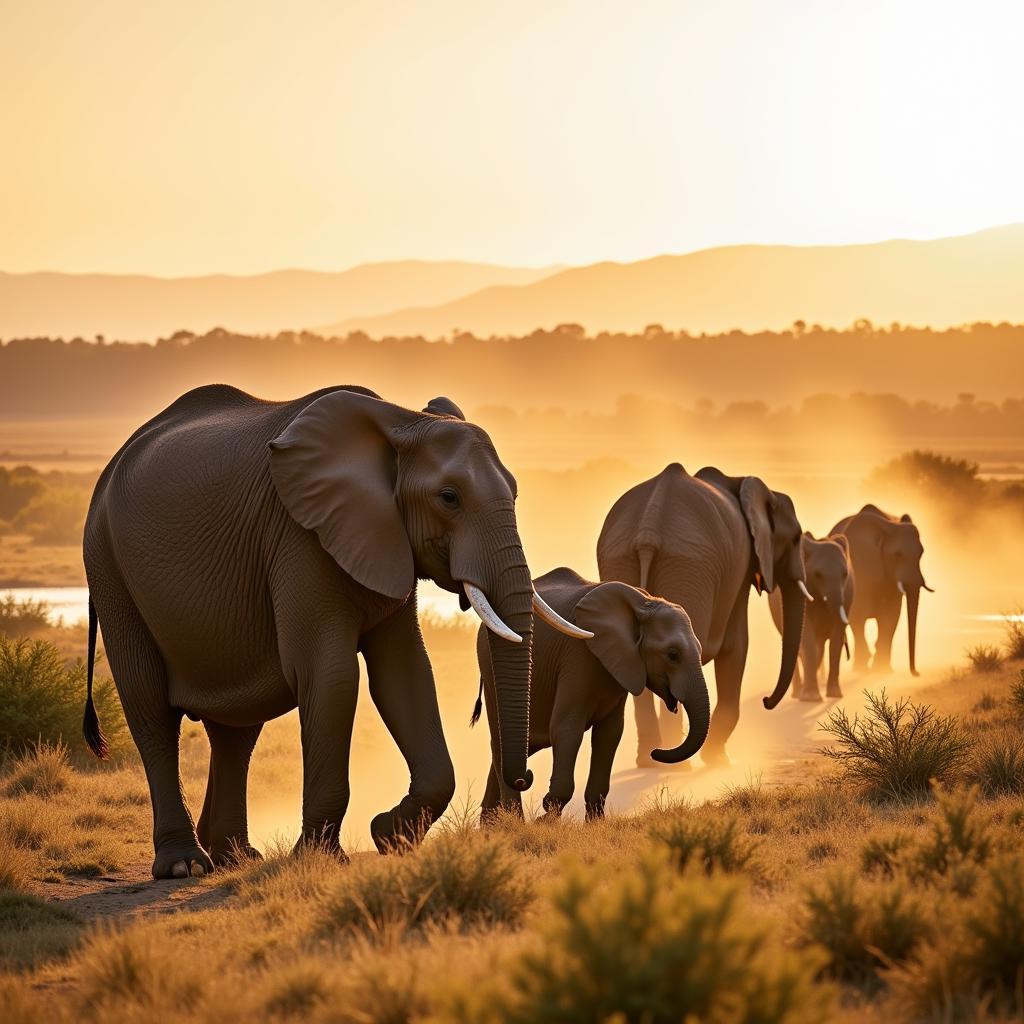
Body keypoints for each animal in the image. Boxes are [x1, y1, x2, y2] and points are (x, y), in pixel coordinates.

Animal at [81, 385, 585, 880]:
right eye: (449, 497)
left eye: (515, 492)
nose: (523, 779)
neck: (400, 421)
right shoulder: (300, 535)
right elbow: (332, 677)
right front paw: (321, 858)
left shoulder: (385, 542)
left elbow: (406, 674)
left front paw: (389, 836)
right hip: (109, 568)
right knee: (151, 709)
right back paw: (184, 865)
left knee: (237, 728)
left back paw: (235, 858)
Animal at [473, 565, 708, 819]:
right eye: (673, 654)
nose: (655, 752)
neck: (643, 602)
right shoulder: (578, 654)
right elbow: (567, 728)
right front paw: (546, 817)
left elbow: (610, 734)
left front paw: (593, 821)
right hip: (490, 666)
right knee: (500, 741)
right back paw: (512, 821)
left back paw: (493, 824)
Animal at [598, 466, 811, 770]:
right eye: (795, 539)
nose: (766, 700)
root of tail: (647, 531)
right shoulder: (741, 566)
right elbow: (736, 645)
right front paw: (720, 761)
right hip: (688, 568)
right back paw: (675, 764)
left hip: (622, 562)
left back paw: (650, 761)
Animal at [770, 532, 856, 700]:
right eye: (818, 575)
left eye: (845, 574)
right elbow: (807, 637)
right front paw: (810, 698)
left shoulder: (848, 592)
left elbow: (835, 641)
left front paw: (835, 695)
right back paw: (798, 693)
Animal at [831, 505, 937, 679]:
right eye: (898, 555)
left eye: (921, 553)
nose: (917, 673)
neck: (887, 530)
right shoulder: (860, 566)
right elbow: (858, 615)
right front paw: (866, 668)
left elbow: (891, 616)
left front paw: (883, 670)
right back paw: (858, 667)